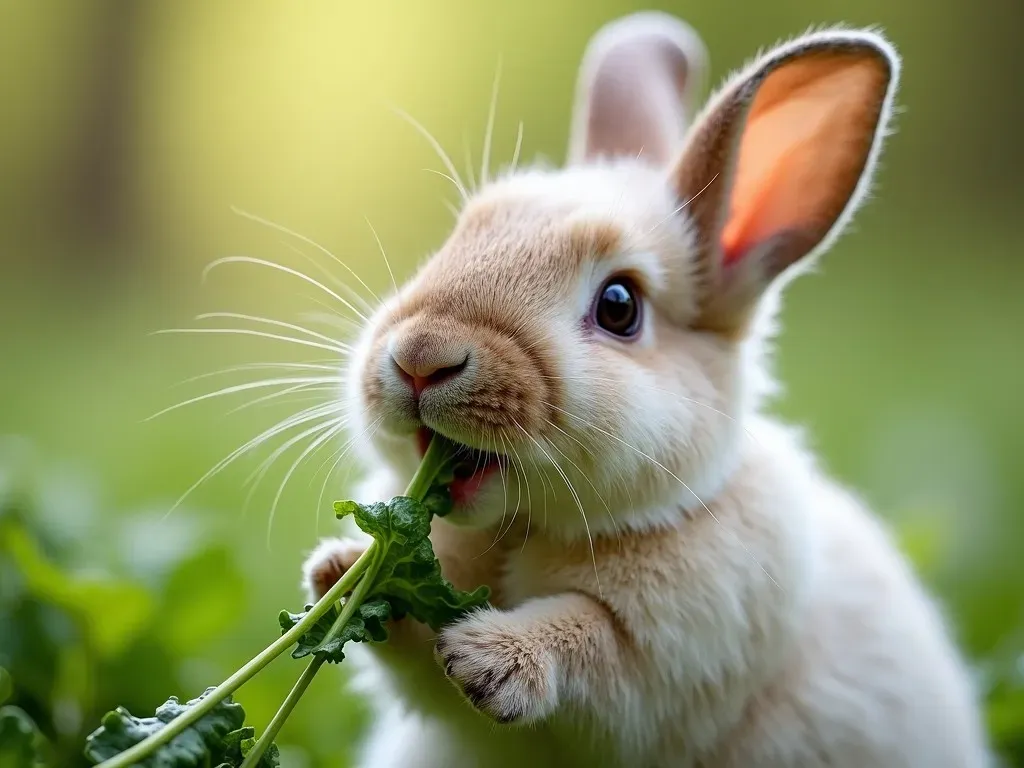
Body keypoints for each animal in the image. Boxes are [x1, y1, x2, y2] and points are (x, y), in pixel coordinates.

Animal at [299, 12, 987, 768]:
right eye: (458, 237)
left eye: (620, 306)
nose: (421, 358)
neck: (525, 528)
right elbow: (418, 657)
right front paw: (337, 574)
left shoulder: (671, 660)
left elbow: (588, 643)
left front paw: (487, 659)